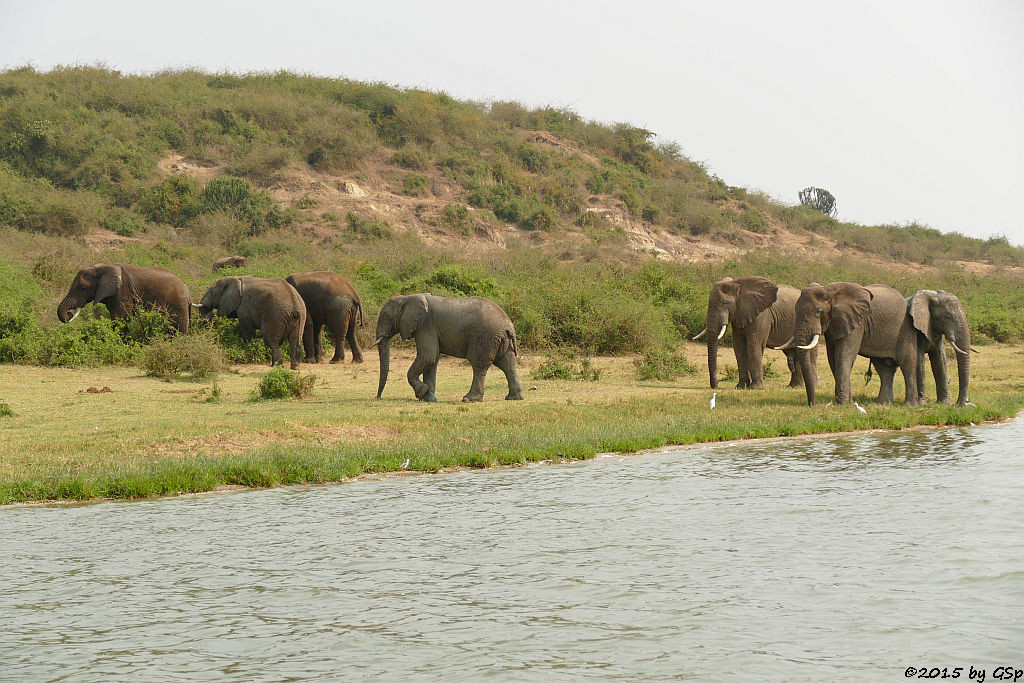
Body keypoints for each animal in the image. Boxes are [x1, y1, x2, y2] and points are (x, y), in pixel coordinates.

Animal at [57, 264, 192, 333]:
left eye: (83, 288)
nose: (69, 314)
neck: (101, 268)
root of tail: (186, 288)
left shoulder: (123, 290)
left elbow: (120, 316)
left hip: (178, 303)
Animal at [372, 292, 524, 401]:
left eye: (387, 318)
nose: (379, 397)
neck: (407, 298)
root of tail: (508, 325)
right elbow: (432, 360)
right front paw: (428, 399)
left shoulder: (426, 326)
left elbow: (428, 357)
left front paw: (421, 392)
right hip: (501, 340)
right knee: (507, 364)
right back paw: (513, 398)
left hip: (485, 336)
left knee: (478, 364)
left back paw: (469, 399)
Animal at [782, 282, 921, 405]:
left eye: (819, 311)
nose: (812, 404)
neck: (829, 291)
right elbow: (832, 358)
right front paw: (848, 402)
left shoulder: (857, 322)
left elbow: (844, 355)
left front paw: (842, 404)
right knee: (884, 368)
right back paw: (883, 403)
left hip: (905, 330)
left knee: (907, 363)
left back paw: (909, 405)